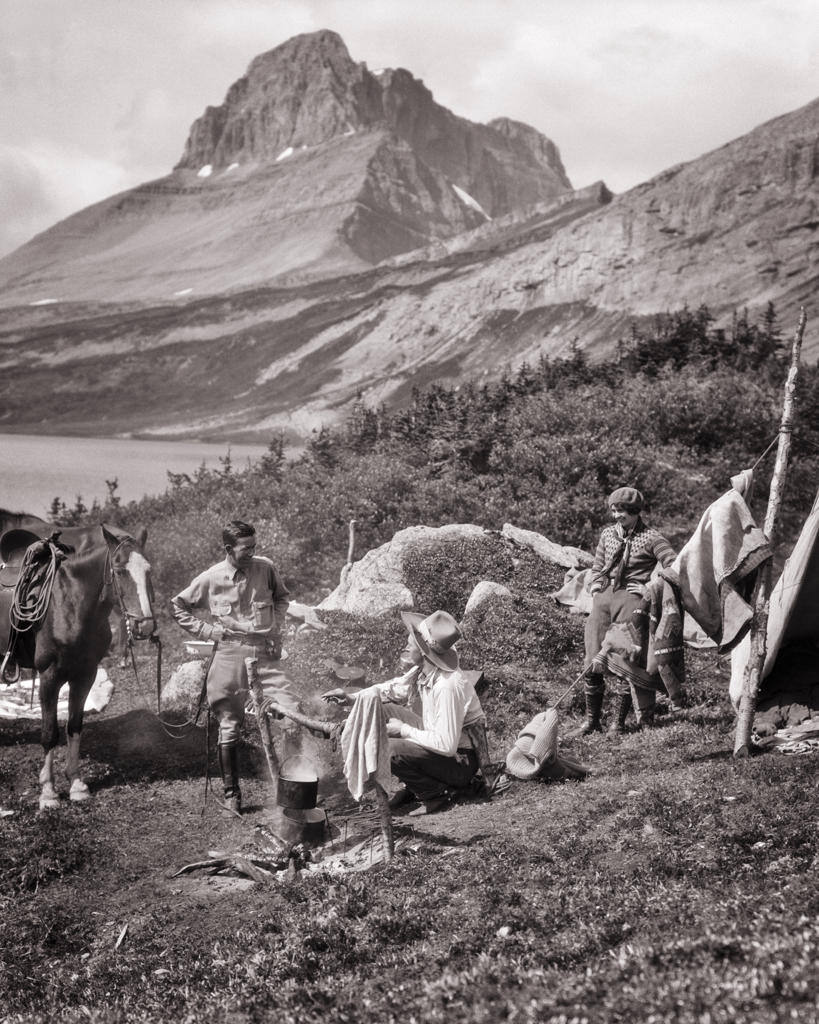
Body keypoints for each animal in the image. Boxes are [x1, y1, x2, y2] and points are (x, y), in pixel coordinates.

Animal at [0, 524, 155, 811]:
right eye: (119, 570)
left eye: (148, 570)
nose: (145, 625)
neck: (69, 604)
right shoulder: (49, 677)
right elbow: (50, 733)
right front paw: (48, 793)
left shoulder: (85, 675)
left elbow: (74, 726)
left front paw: (76, 785)